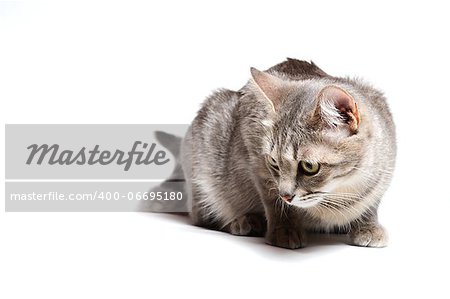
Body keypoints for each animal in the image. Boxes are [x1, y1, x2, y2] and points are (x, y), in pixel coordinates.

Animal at [157, 58, 394, 248]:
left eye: (309, 167)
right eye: (273, 162)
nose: (286, 196)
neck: (342, 190)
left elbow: (371, 202)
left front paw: (368, 225)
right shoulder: (254, 154)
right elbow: (272, 200)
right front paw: (284, 230)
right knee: (204, 217)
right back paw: (246, 222)